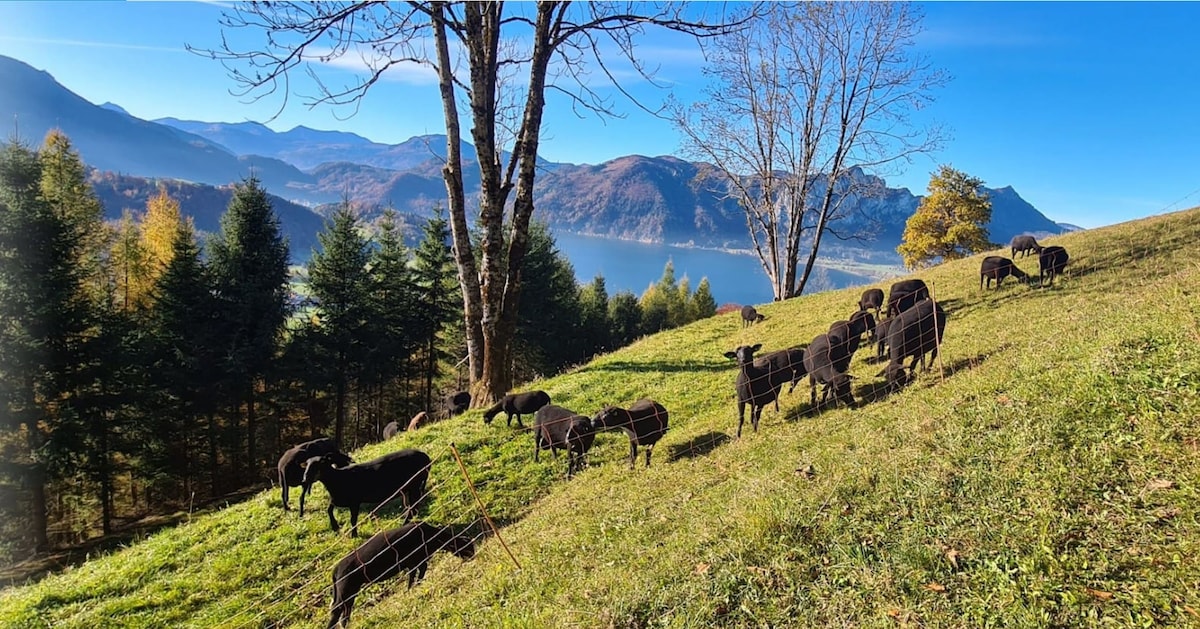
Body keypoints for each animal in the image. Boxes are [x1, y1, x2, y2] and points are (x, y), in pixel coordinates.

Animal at [302, 446, 434, 535]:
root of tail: (427, 458)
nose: (305, 478)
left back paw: (404, 524)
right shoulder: (337, 500)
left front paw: (353, 535)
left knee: (414, 507)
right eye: (306, 465)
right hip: (408, 488)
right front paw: (335, 527)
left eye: (320, 463)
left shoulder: (354, 501)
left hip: (415, 484)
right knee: (412, 507)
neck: (339, 478)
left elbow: (353, 519)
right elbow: (329, 510)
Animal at [331, 520, 480, 629]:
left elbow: (416, 575)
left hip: (347, 592)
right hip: (346, 590)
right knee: (337, 609)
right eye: (468, 547)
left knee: (343, 610)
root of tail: (336, 569)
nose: (474, 556)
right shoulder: (415, 560)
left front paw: (413, 588)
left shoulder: (416, 562)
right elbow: (416, 574)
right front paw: (411, 589)